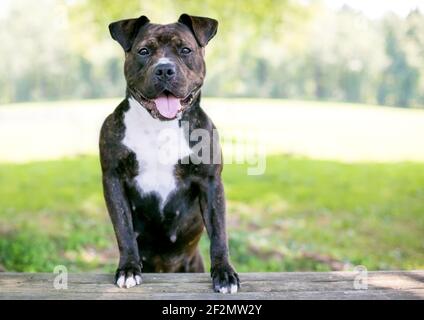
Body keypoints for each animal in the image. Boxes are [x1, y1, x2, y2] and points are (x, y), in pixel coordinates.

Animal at [98, 12, 240, 294]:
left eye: (185, 50)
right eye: (144, 51)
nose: (164, 69)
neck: (160, 126)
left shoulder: (210, 182)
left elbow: (219, 232)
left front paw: (224, 273)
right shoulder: (113, 179)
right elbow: (124, 229)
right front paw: (128, 269)